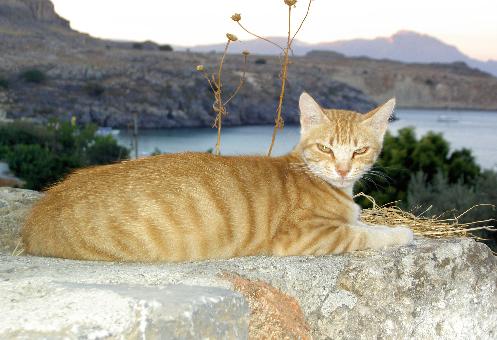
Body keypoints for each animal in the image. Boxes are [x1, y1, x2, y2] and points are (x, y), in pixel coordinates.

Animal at [21, 91, 412, 262]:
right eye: (326, 149)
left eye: (359, 151)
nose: (343, 169)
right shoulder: (307, 236)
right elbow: (363, 234)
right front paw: (400, 234)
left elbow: (361, 223)